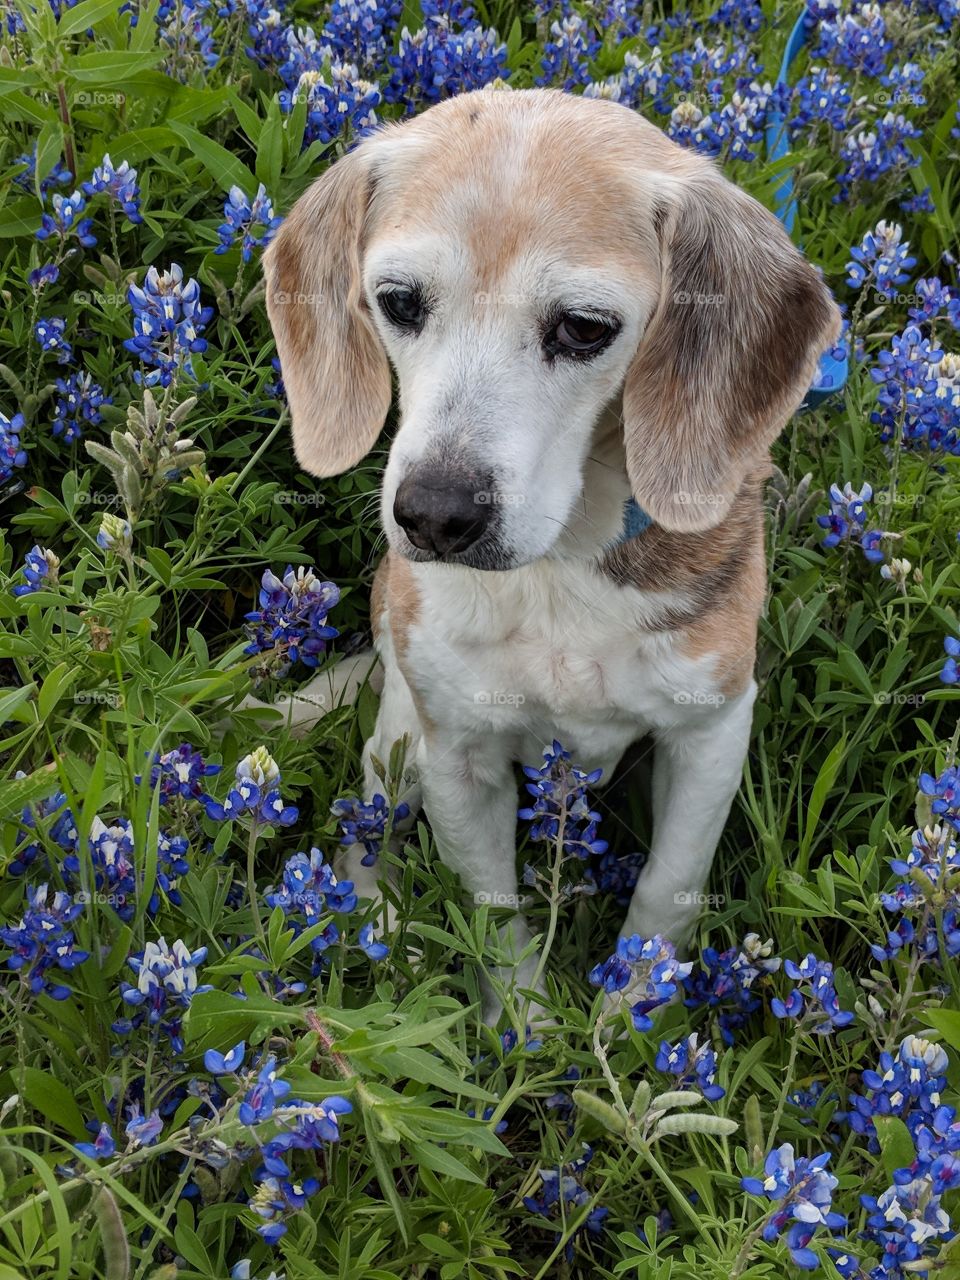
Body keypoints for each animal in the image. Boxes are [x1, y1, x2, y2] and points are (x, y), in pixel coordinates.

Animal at [263, 87, 839, 1008]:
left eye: (583, 328)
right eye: (398, 301)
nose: (433, 516)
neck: (558, 570)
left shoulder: (711, 731)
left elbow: (665, 893)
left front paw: (632, 1020)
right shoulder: (457, 749)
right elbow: (494, 916)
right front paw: (522, 1026)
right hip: (402, 730)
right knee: (367, 823)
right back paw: (382, 934)